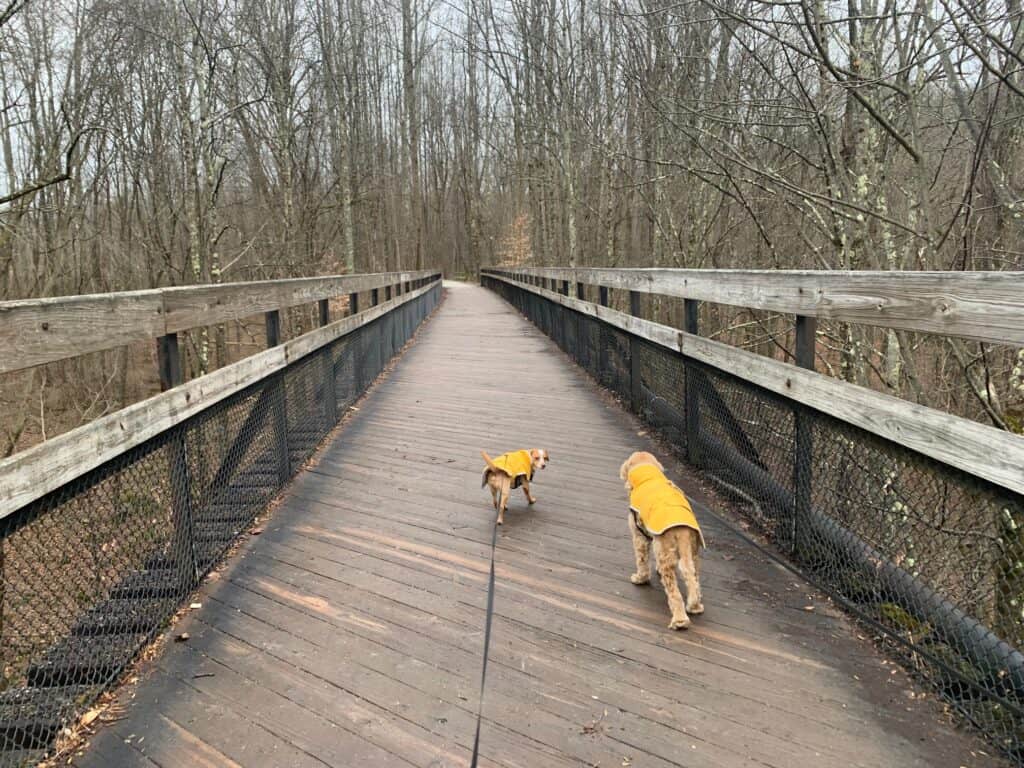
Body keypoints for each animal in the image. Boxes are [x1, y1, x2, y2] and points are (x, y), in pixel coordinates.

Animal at [614, 450, 704, 630]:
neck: (648, 475)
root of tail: (682, 530)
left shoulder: (639, 535)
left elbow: (642, 561)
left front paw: (640, 578)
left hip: (665, 553)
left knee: (674, 593)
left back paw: (679, 620)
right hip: (692, 554)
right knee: (693, 579)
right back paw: (695, 607)